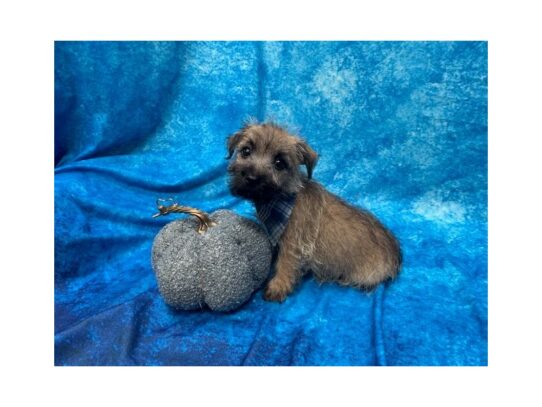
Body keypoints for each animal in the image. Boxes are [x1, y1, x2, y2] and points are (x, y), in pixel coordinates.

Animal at [227, 121, 402, 302]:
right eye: (246, 151)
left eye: (279, 163)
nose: (251, 178)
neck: (281, 202)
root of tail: (396, 254)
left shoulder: (294, 244)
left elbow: (285, 265)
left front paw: (277, 286)